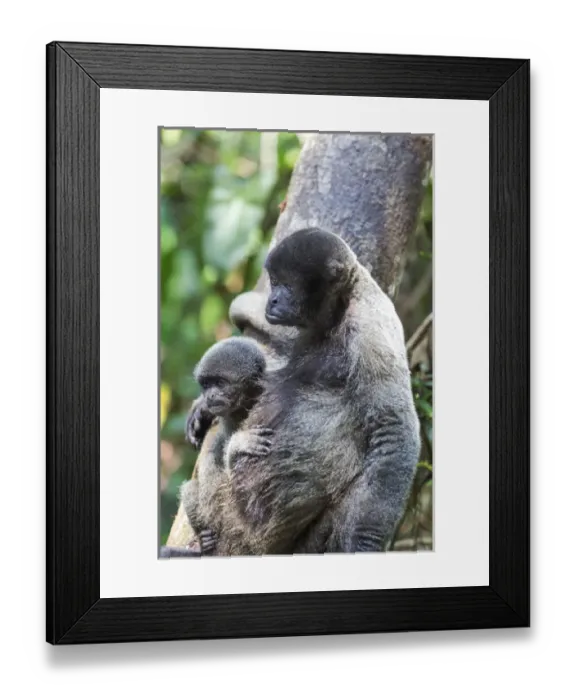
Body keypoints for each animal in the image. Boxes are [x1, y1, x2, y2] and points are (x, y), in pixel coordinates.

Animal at [209, 227, 421, 556]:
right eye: (274, 283)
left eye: (287, 285)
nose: (272, 300)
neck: (342, 307)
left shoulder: (370, 331)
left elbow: (393, 428)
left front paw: (365, 543)